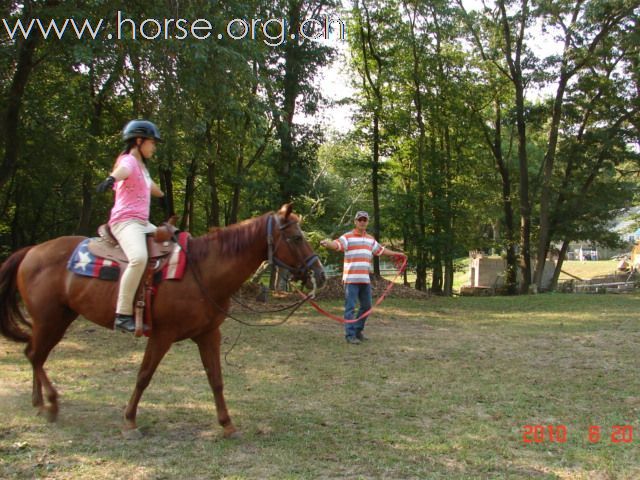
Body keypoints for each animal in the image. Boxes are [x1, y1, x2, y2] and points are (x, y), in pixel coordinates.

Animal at [1, 204, 324, 436]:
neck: (201, 271)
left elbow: (216, 379)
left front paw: (227, 423)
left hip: (60, 317)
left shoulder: (209, 334)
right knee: (35, 355)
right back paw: (51, 404)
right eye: (296, 237)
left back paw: (40, 403)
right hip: (50, 319)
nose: (319, 273)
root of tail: (32, 251)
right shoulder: (162, 335)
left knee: (35, 354)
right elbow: (144, 375)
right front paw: (130, 420)